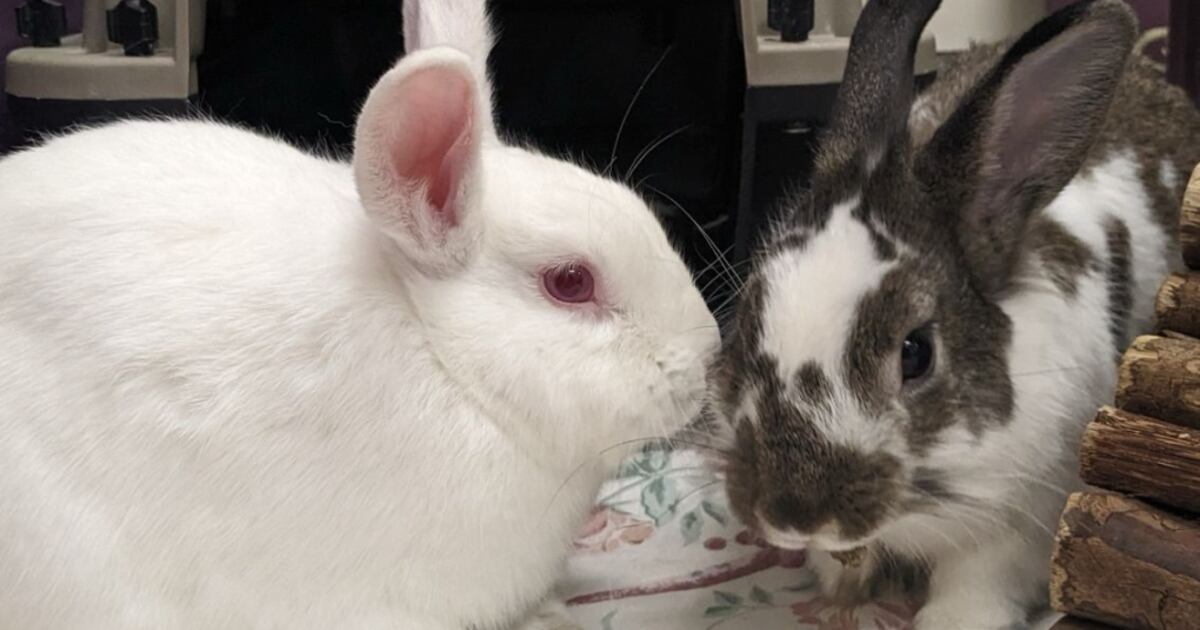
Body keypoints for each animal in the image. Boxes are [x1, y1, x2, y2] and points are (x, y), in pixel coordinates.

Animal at [711, 0, 1200, 628]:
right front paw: (842, 598)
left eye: (916, 354)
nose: (792, 515)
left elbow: (974, 588)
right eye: (748, 317)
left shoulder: (1020, 523)